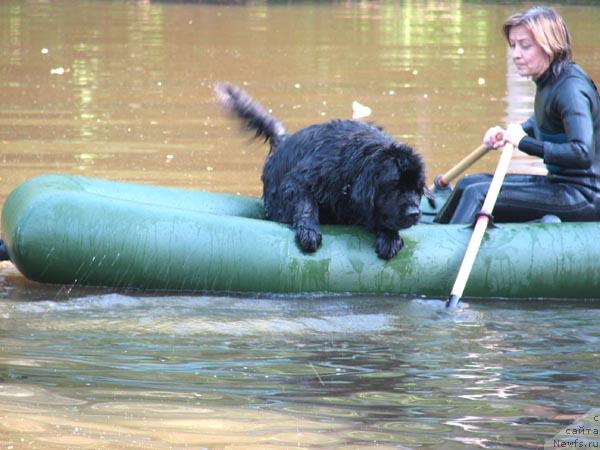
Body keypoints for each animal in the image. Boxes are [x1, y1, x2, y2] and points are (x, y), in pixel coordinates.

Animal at [216, 83, 426, 260]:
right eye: (394, 186)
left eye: (417, 189)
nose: (414, 212)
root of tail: (284, 140)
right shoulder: (303, 179)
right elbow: (306, 202)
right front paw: (309, 232)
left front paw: (390, 237)